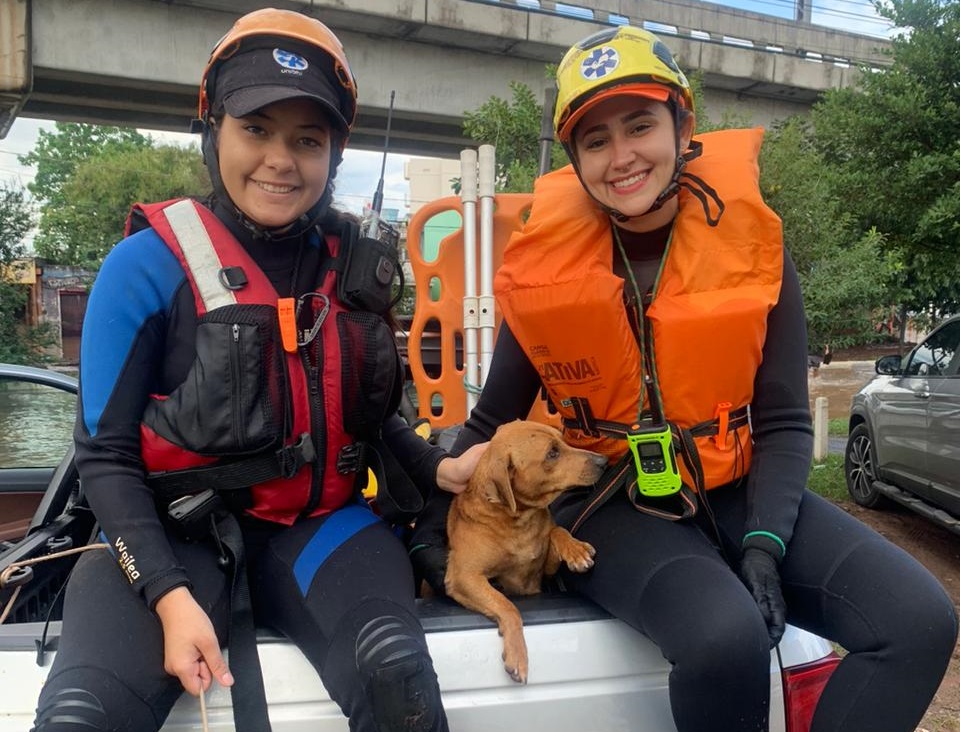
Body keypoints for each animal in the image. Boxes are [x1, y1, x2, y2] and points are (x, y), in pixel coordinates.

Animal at [444, 420, 608, 684]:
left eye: (562, 439)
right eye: (552, 453)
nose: (604, 461)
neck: (518, 520)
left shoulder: (545, 570)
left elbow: (557, 530)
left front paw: (575, 549)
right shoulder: (463, 577)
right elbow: (508, 606)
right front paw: (518, 653)